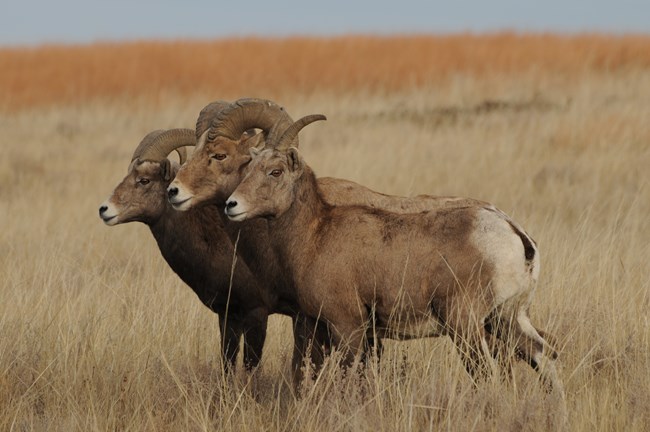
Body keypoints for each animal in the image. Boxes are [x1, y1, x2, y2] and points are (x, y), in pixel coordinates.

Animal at [167, 98, 559, 384]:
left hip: (466, 327)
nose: (232, 206)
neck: (315, 236)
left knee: (489, 374)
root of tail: (517, 237)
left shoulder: (346, 330)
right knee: (545, 356)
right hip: (507, 320)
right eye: (247, 169)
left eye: (274, 172)